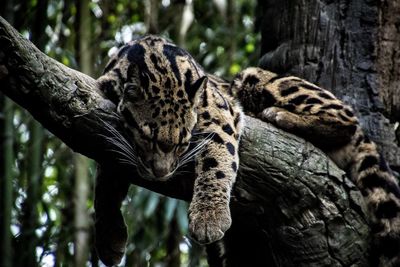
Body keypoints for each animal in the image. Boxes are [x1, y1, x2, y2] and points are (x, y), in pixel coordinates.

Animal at [95, 36, 398, 267]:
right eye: (147, 138)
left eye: (183, 143)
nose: (161, 174)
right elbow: (107, 178)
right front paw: (109, 235)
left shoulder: (217, 112)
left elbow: (217, 161)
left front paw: (209, 217)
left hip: (256, 78)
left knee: (347, 117)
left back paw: (280, 116)